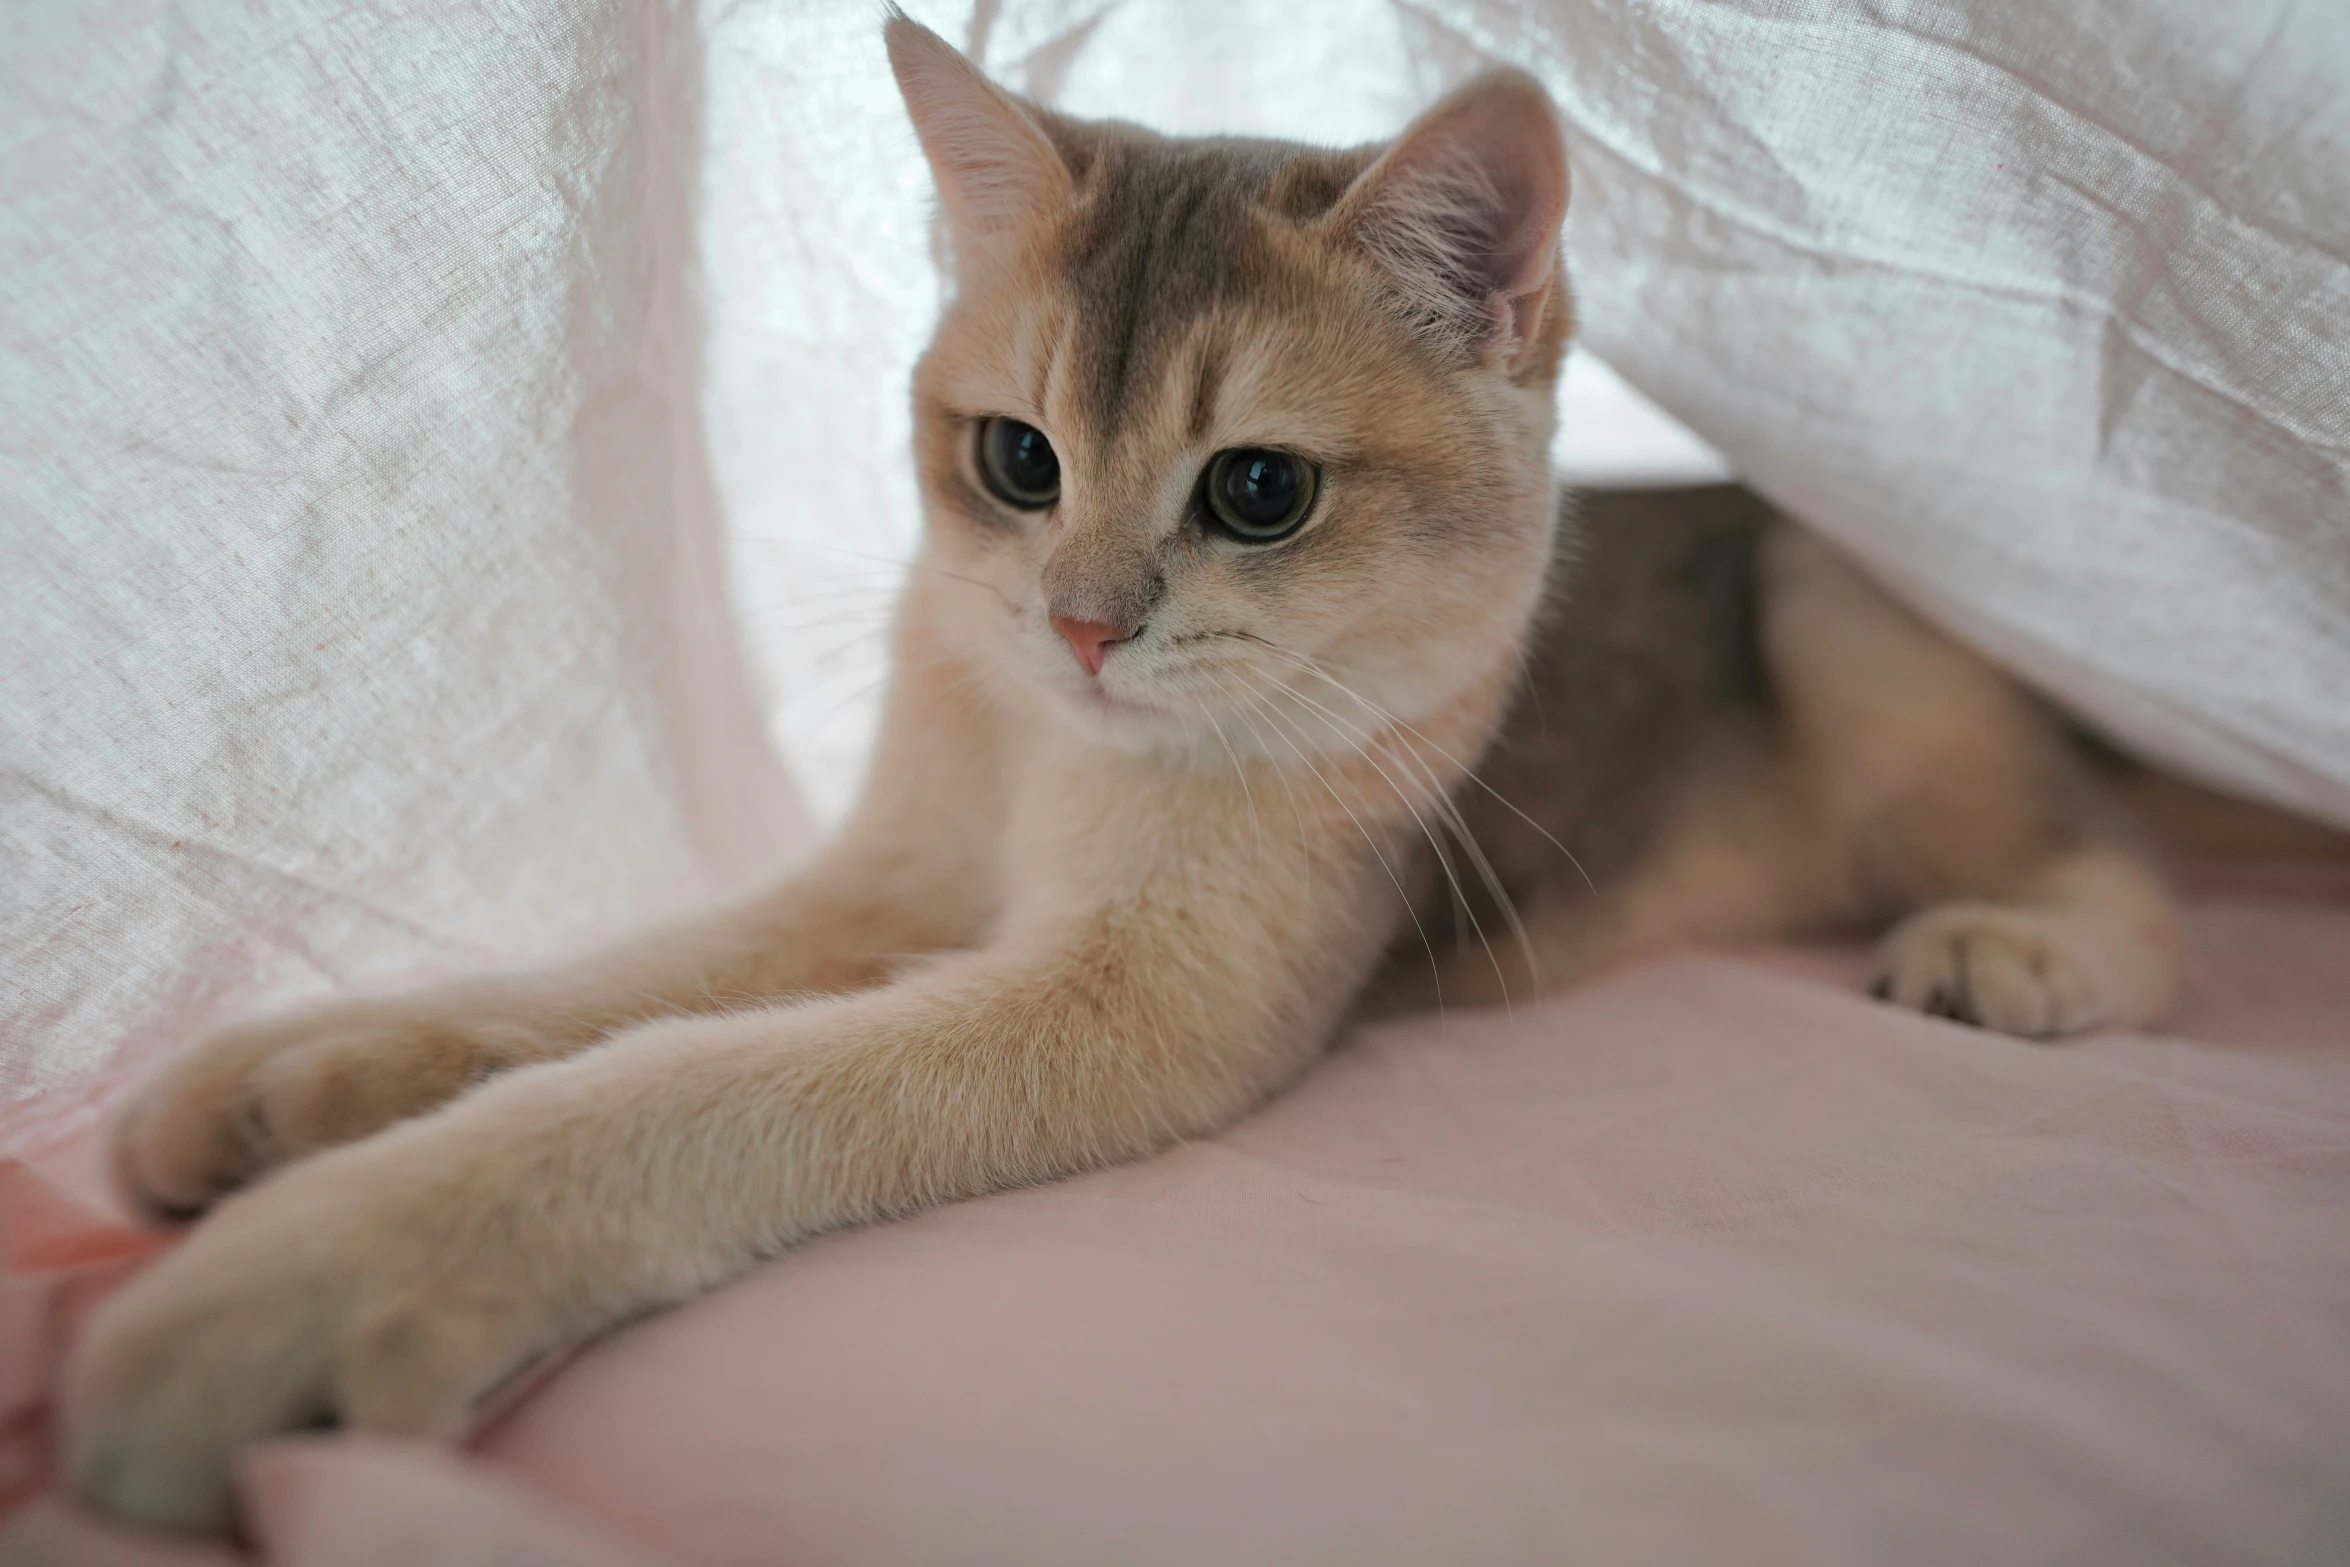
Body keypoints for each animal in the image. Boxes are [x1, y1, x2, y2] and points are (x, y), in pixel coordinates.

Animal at [59, 12, 2180, 1531]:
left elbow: (688, 1079)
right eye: (1017, 460)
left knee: (2131, 883)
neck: (1047, 762)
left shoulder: (1146, 1000)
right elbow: (633, 976)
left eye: (1257, 491)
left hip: (1848, 625)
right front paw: (304, 1068)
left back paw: (2014, 952)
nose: (1080, 627)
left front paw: (307, 1278)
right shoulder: (890, 874)